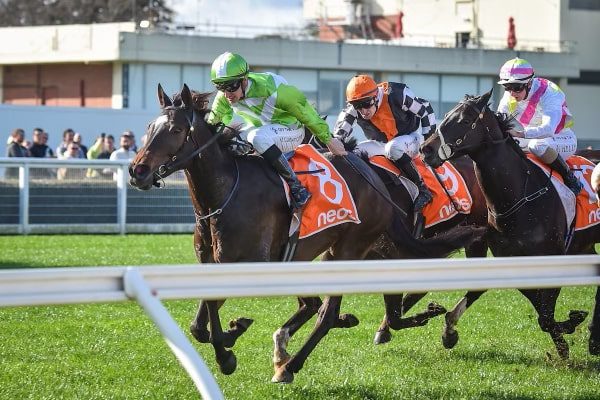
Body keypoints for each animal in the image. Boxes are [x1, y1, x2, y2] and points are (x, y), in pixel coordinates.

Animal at [129, 84, 480, 384]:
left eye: (175, 130)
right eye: (148, 127)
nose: (137, 171)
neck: (226, 193)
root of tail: (376, 179)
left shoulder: (252, 263)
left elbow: (212, 313)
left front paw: (227, 355)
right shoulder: (211, 263)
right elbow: (198, 325)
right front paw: (232, 335)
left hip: (348, 250)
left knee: (326, 313)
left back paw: (291, 365)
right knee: (322, 305)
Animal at [420, 89, 596, 358]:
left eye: (464, 120)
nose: (425, 149)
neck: (520, 198)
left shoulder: (554, 259)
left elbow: (546, 317)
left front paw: (566, 339)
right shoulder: (513, 260)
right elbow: (542, 314)